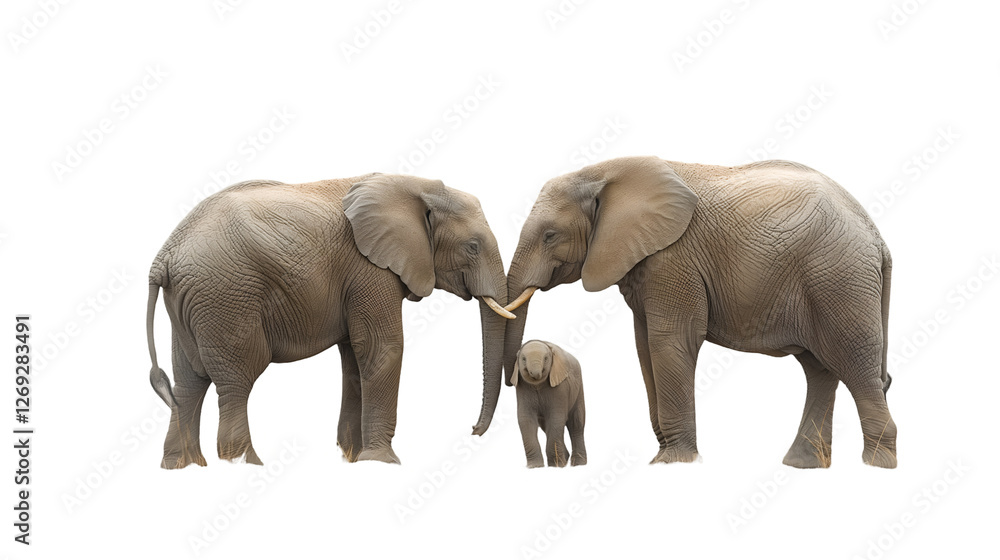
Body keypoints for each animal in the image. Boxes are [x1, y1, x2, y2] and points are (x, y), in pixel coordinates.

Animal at [145, 173, 513, 469]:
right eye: (473, 247)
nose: (472, 430)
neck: (415, 185)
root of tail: (164, 255)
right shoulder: (370, 269)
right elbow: (383, 349)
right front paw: (382, 463)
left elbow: (354, 357)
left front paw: (352, 457)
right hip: (226, 297)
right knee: (237, 380)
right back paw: (245, 464)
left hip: (191, 302)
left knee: (188, 382)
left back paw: (183, 466)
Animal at [511, 340, 586, 468]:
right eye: (523, 359)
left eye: (546, 358)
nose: (536, 375)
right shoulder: (522, 388)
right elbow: (525, 419)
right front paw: (535, 466)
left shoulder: (560, 388)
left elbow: (556, 418)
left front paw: (556, 466)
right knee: (545, 425)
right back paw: (566, 458)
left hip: (579, 387)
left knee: (576, 423)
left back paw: (578, 464)